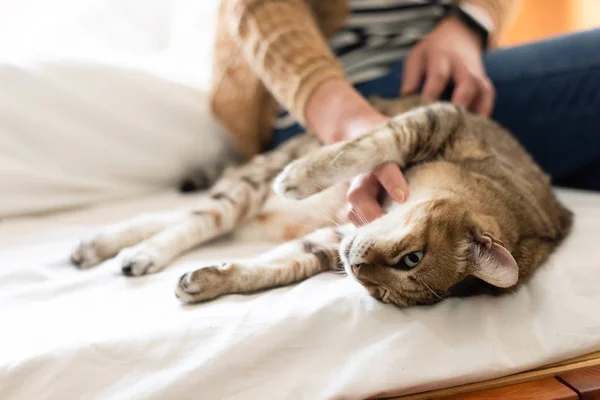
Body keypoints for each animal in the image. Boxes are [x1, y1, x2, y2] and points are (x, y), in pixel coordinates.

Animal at [69, 98, 572, 308]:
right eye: (413, 257)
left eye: (382, 294)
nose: (356, 268)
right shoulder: (433, 120)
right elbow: (361, 147)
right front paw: (300, 178)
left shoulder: (329, 241)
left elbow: (269, 270)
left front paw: (207, 282)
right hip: (248, 186)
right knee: (192, 221)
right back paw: (134, 252)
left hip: (253, 216)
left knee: (178, 218)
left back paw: (110, 247)